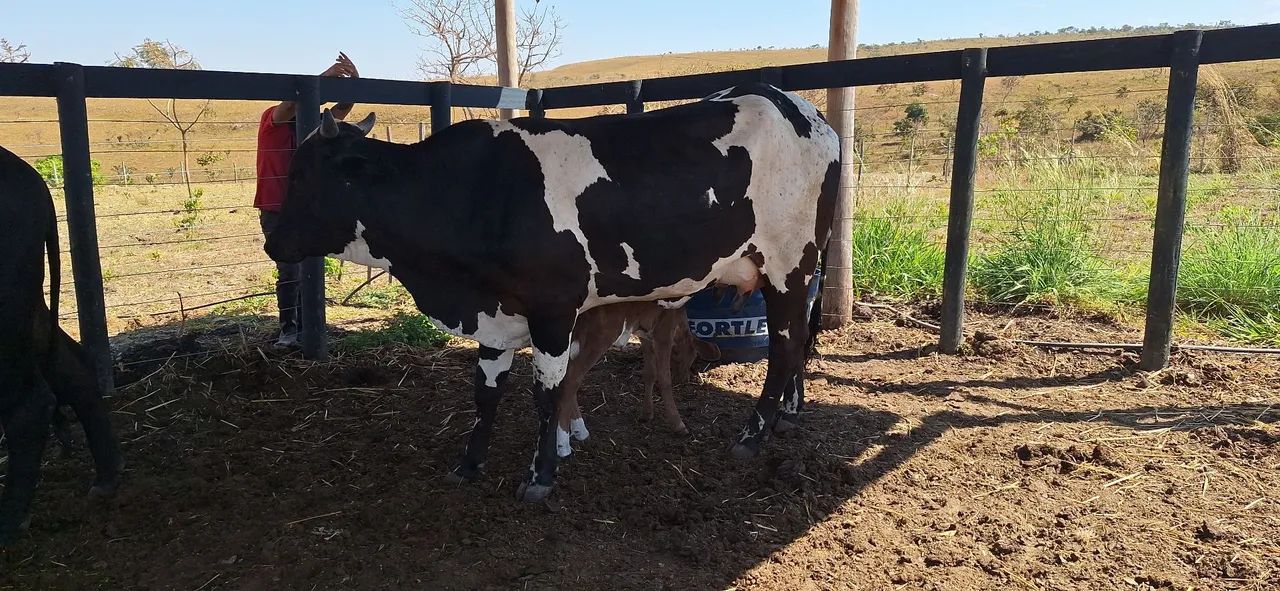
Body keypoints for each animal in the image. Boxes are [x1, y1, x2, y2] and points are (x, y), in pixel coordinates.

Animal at [264, 83, 840, 501]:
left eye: (302, 174)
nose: (273, 239)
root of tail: (800, 108)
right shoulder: (494, 313)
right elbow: (486, 392)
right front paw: (469, 464)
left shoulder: (553, 311)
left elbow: (547, 393)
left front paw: (539, 477)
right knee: (796, 346)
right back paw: (787, 416)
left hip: (790, 266)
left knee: (784, 348)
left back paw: (753, 436)